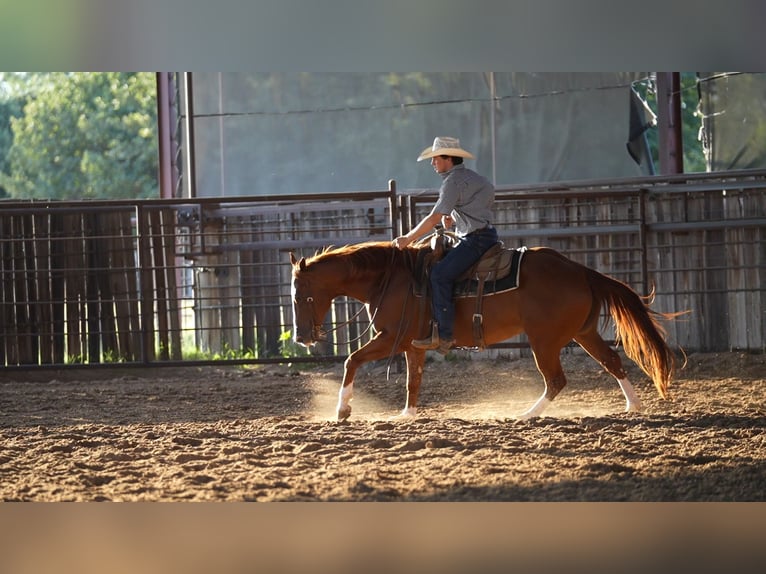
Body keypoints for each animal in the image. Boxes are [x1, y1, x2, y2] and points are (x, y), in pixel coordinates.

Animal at [289, 239, 679, 421]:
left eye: (299, 295)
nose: (301, 337)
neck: (389, 278)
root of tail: (581, 270)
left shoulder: (390, 339)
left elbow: (351, 361)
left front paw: (342, 411)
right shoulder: (412, 345)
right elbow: (413, 381)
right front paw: (407, 415)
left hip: (544, 340)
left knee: (556, 379)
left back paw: (527, 415)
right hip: (582, 333)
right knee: (611, 361)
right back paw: (633, 405)